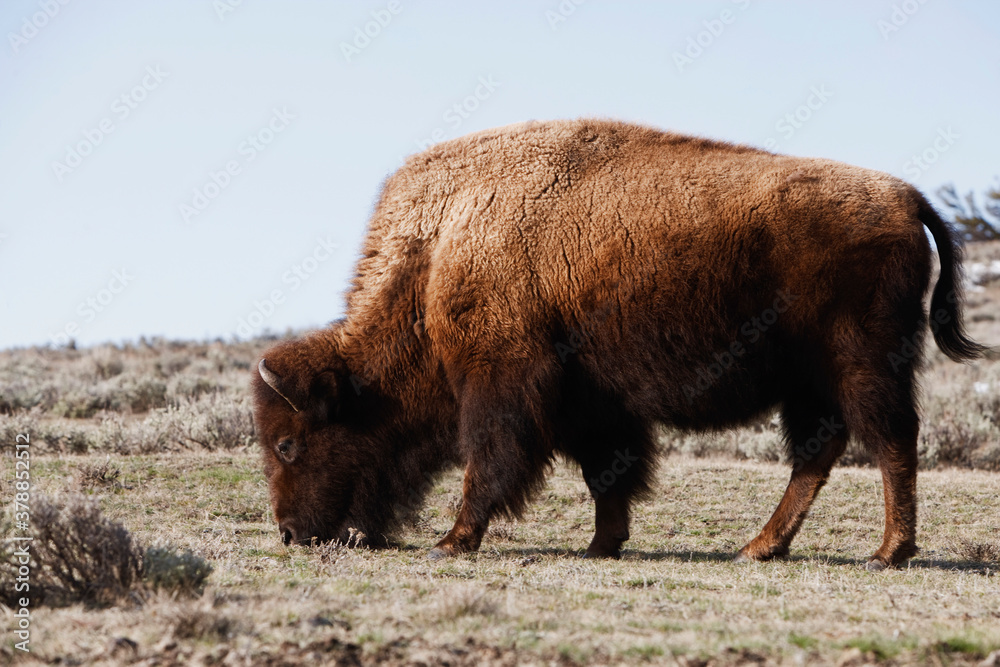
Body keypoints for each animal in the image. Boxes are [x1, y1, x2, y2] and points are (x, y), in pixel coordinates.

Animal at [251, 119, 983, 569]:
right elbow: (609, 469)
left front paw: (452, 541)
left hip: (861, 364)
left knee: (890, 440)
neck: (438, 250)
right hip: (810, 382)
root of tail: (904, 195)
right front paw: (603, 543)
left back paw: (887, 552)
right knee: (818, 453)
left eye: (288, 443)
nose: (289, 533)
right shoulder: (592, 401)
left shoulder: (502, 383)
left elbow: (489, 461)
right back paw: (758, 547)